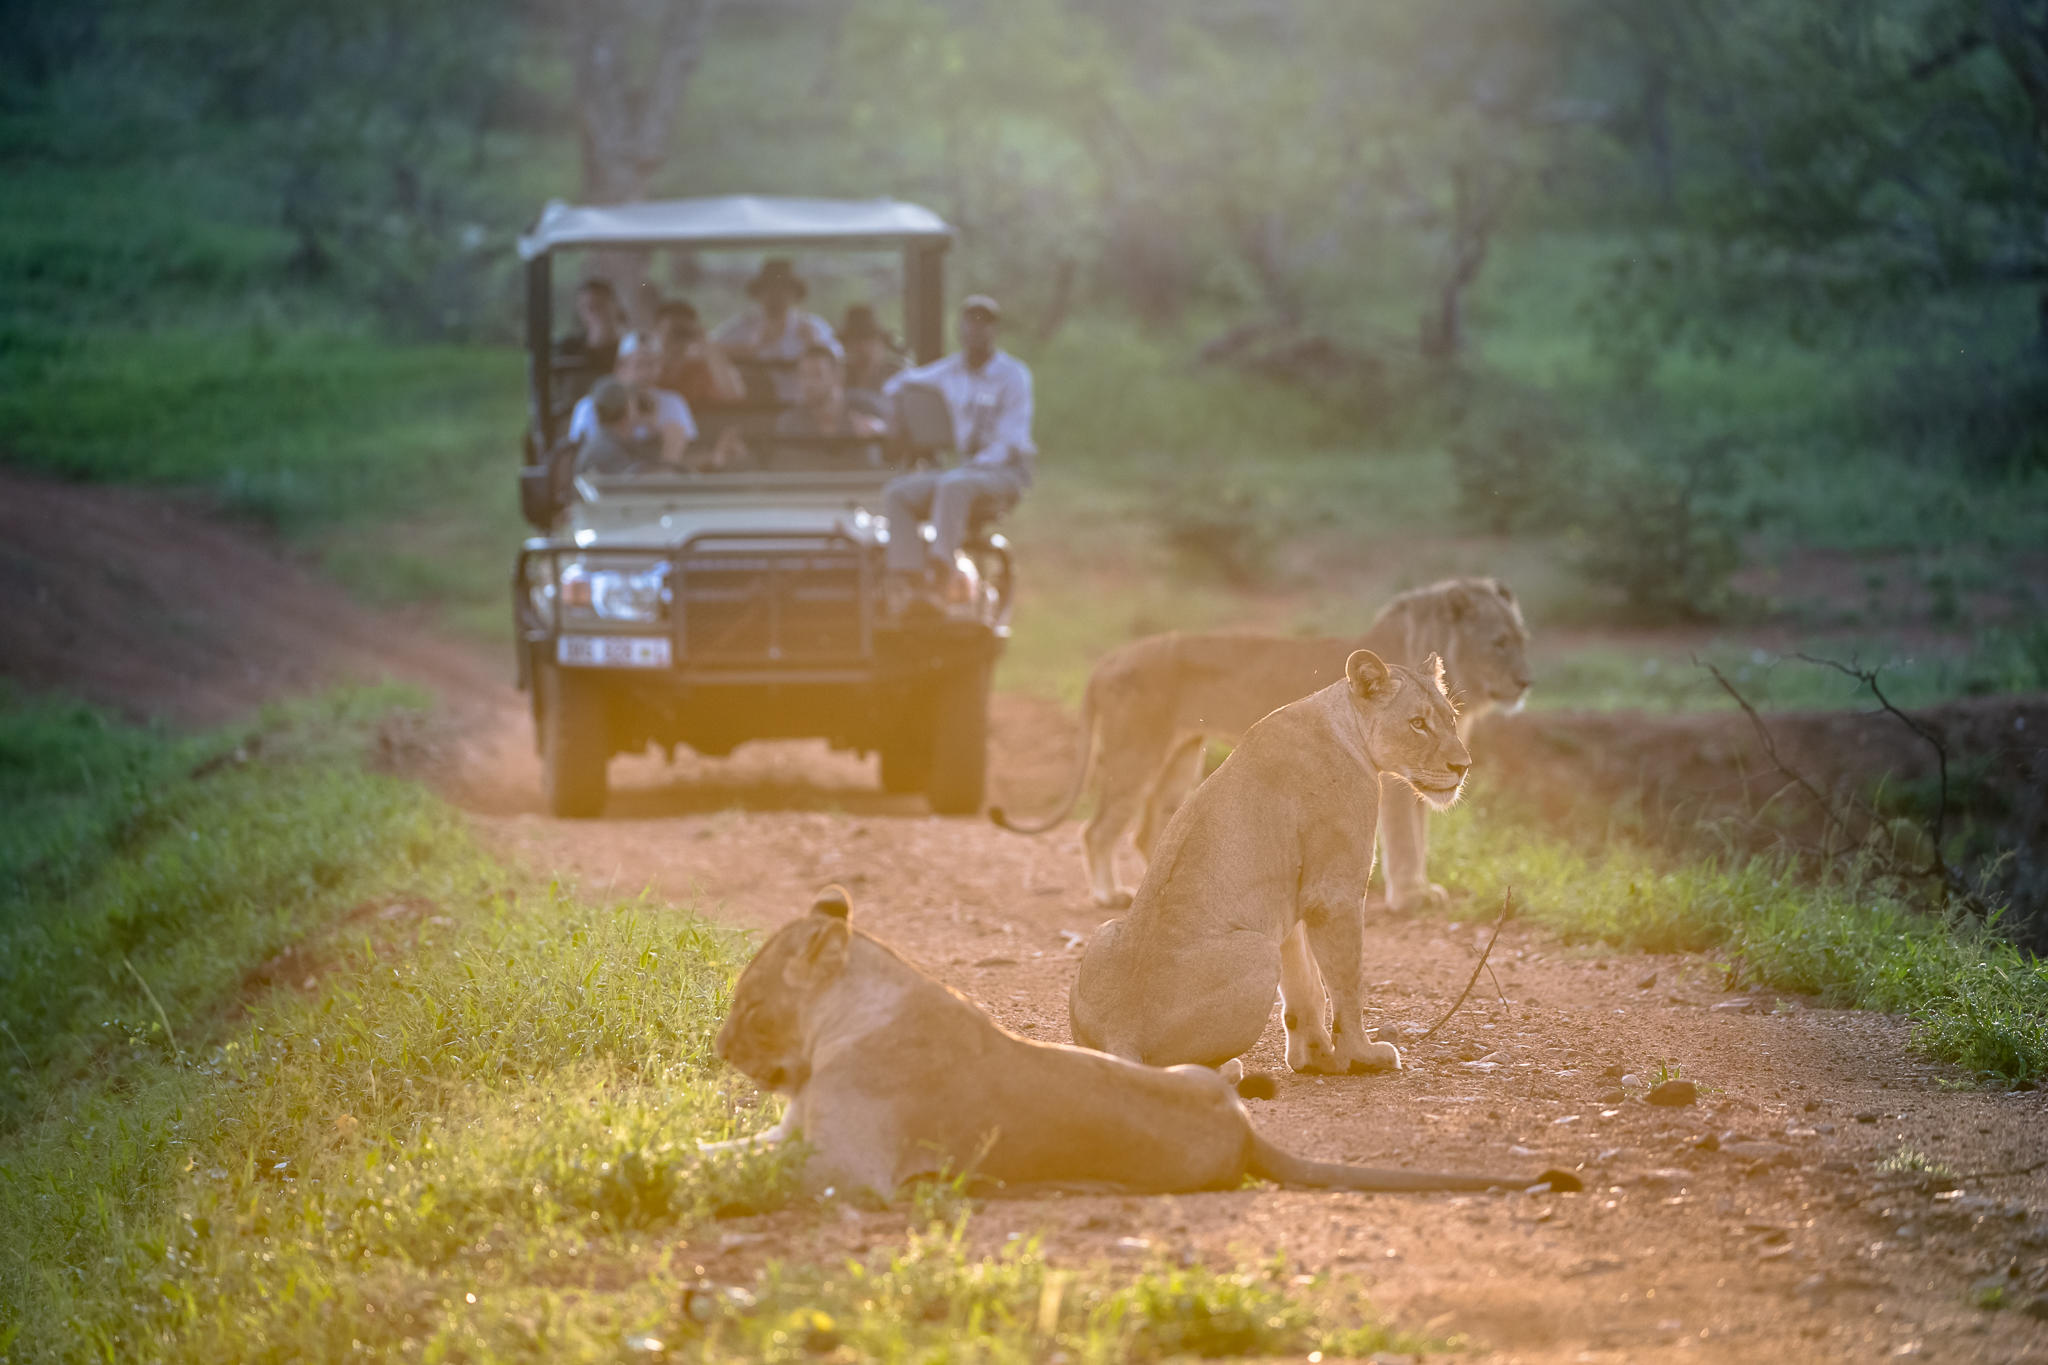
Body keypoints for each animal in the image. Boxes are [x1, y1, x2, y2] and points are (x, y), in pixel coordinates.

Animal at [705, 886, 1577, 1198]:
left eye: (750, 1005)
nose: (719, 1049)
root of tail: (1244, 1128)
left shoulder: (842, 1169)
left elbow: (723, 1171)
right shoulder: (794, 1137)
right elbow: (714, 1151)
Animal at [993, 576, 1529, 910]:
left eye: (1522, 639)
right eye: (1500, 642)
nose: (1528, 681)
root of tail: (1108, 658)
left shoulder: (1421, 772)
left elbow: (1419, 832)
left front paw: (1423, 890)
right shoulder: (1400, 778)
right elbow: (1404, 839)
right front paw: (1412, 897)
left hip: (1181, 758)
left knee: (1147, 832)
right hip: (1137, 755)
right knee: (1098, 830)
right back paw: (1110, 895)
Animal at [1068, 649, 1466, 1079]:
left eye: (1451, 719)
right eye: (1418, 724)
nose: (1463, 766)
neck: (1345, 724)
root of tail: (1121, 1032)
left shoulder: (1290, 903)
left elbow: (1306, 988)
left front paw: (1315, 1059)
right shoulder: (1334, 895)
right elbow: (1347, 986)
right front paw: (1363, 1056)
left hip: (1107, 931)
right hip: (1258, 950)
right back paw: (1225, 1070)